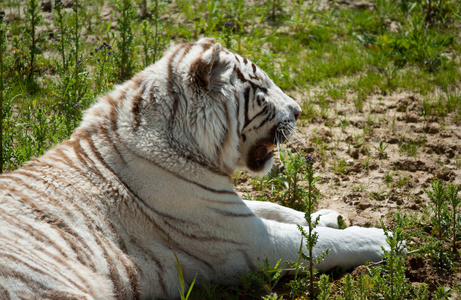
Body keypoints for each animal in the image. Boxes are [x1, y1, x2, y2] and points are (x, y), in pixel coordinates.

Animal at [0, 38, 388, 298]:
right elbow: (326, 241)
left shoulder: (226, 207)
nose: (298, 111)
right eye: (261, 89)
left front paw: (331, 215)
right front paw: (386, 238)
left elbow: (278, 208)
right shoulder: (246, 239)